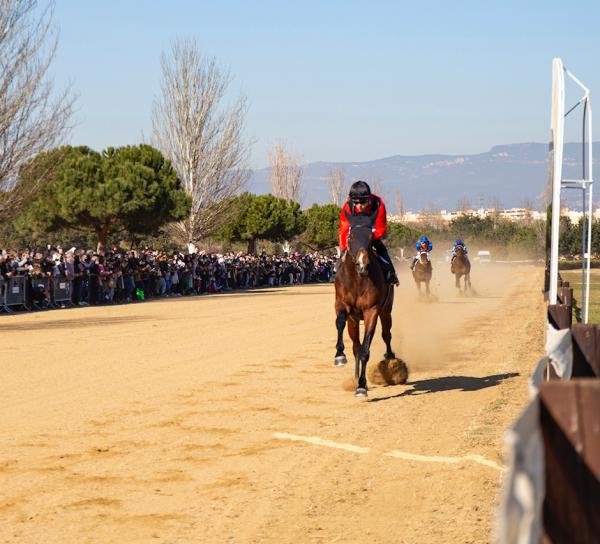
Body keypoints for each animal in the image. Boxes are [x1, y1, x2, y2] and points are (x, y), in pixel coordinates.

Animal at [336, 223, 406, 398]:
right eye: (351, 237)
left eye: (371, 238)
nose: (362, 265)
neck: (357, 280)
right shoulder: (342, 305)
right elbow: (340, 322)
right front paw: (339, 355)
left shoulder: (372, 311)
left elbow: (365, 349)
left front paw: (362, 386)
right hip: (354, 321)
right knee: (355, 346)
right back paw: (354, 378)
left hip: (386, 310)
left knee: (386, 335)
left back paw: (391, 360)